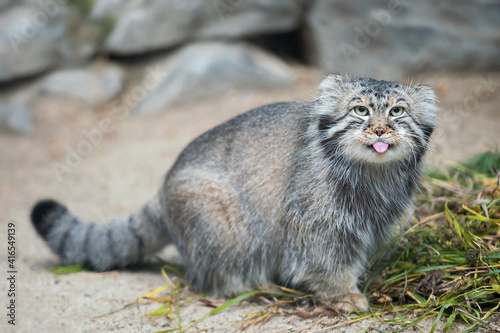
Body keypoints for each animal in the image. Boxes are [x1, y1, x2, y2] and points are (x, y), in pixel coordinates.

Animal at [32, 75, 438, 312]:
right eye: (360, 110)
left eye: (397, 111)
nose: (381, 130)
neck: (373, 175)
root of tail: (165, 185)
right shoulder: (314, 224)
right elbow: (326, 261)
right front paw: (342, 295)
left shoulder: (366, 222)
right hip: (226, 228)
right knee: (218, 272)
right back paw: (254, 287)